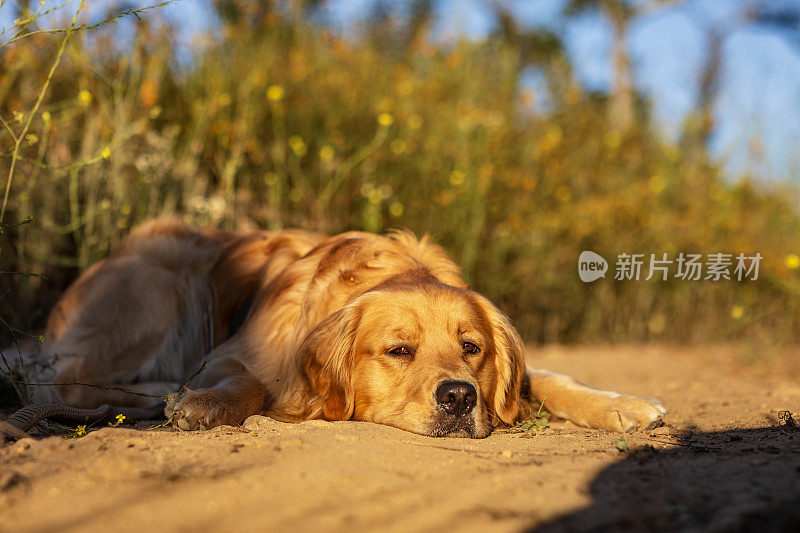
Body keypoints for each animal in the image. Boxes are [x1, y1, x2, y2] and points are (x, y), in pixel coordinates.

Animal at [9, 217, 664, 436]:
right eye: (399, 351)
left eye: (472, 349)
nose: (459, 398)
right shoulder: (232, 354)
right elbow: (247, 384)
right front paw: (203, 405)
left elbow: (548, 379)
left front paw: (625, 405)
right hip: (160, 287)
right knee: (54, 380)